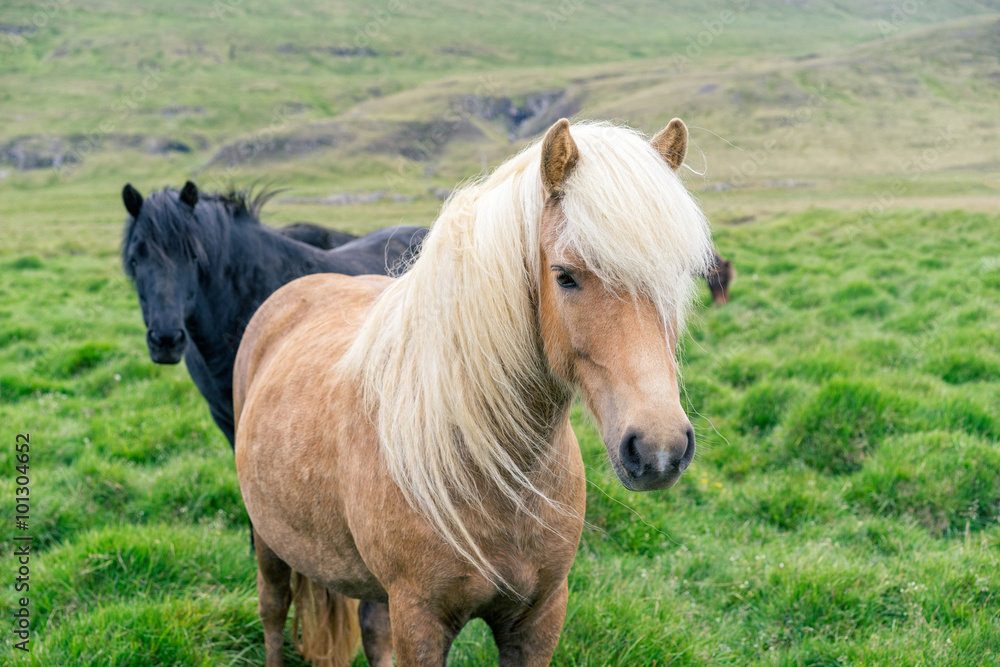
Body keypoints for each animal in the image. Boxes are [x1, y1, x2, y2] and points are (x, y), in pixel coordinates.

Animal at [233, 118, 713, 666]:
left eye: (681, 276)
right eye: (564, 276)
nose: (659, 449)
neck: (491, 468)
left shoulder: (539, 617)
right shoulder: (419, 620)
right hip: (269, 540)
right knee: (273, 611)